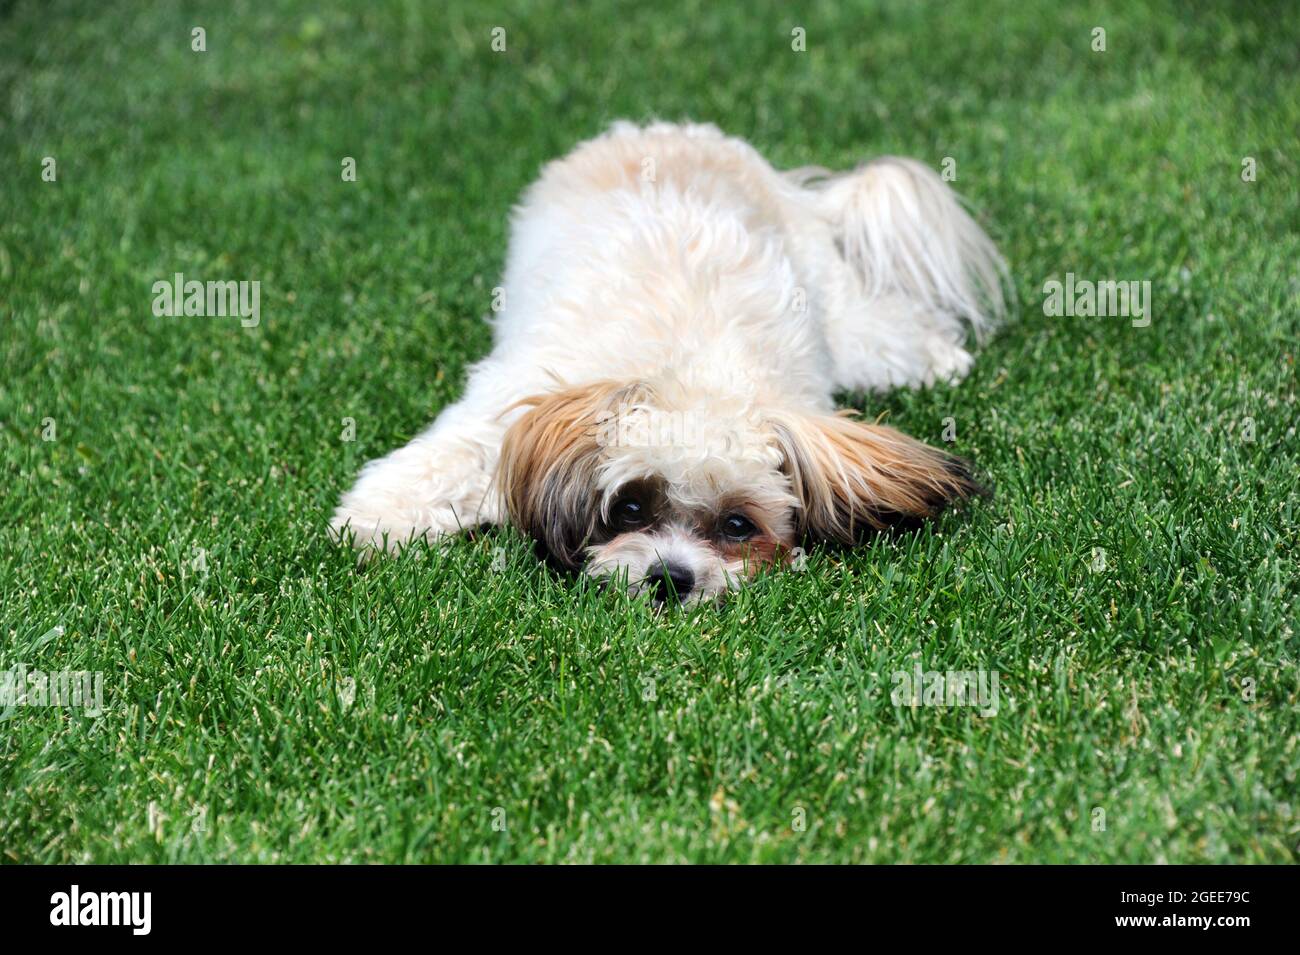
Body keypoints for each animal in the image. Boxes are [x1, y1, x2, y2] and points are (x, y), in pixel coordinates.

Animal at [327, 121, 1003, 605]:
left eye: (738, 526)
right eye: (629, 507)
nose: (671, 578)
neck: (688, 371)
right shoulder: (503, 412)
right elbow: (439, 465)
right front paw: (372, 521)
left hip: (840, 316)